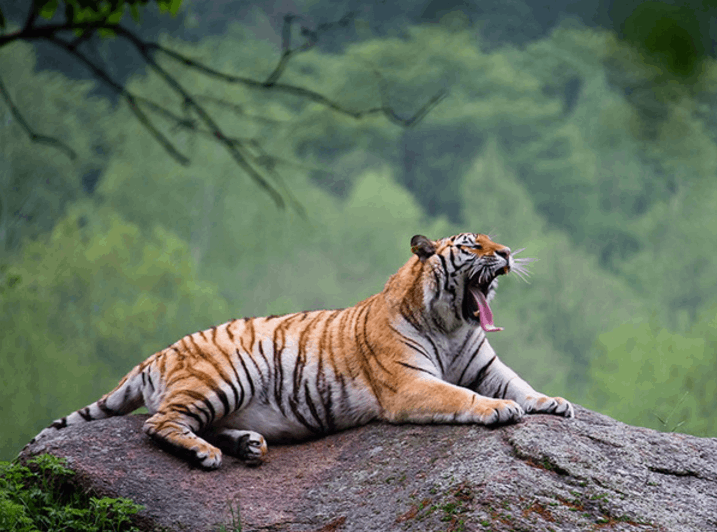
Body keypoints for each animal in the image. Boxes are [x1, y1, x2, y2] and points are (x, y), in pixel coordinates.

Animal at [30, 233, 572, 470]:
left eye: (494, 241)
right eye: (473, 245)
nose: (506, 253)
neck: (451, 323)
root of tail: (156, 355)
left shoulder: (485, 366)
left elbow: (521, 385)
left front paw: (554, 402)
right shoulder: (410, 384)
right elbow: (462, 397)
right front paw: (500, 409)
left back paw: (247, 445)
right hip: (224, 378)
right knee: (158, 422)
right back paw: (208, 454)